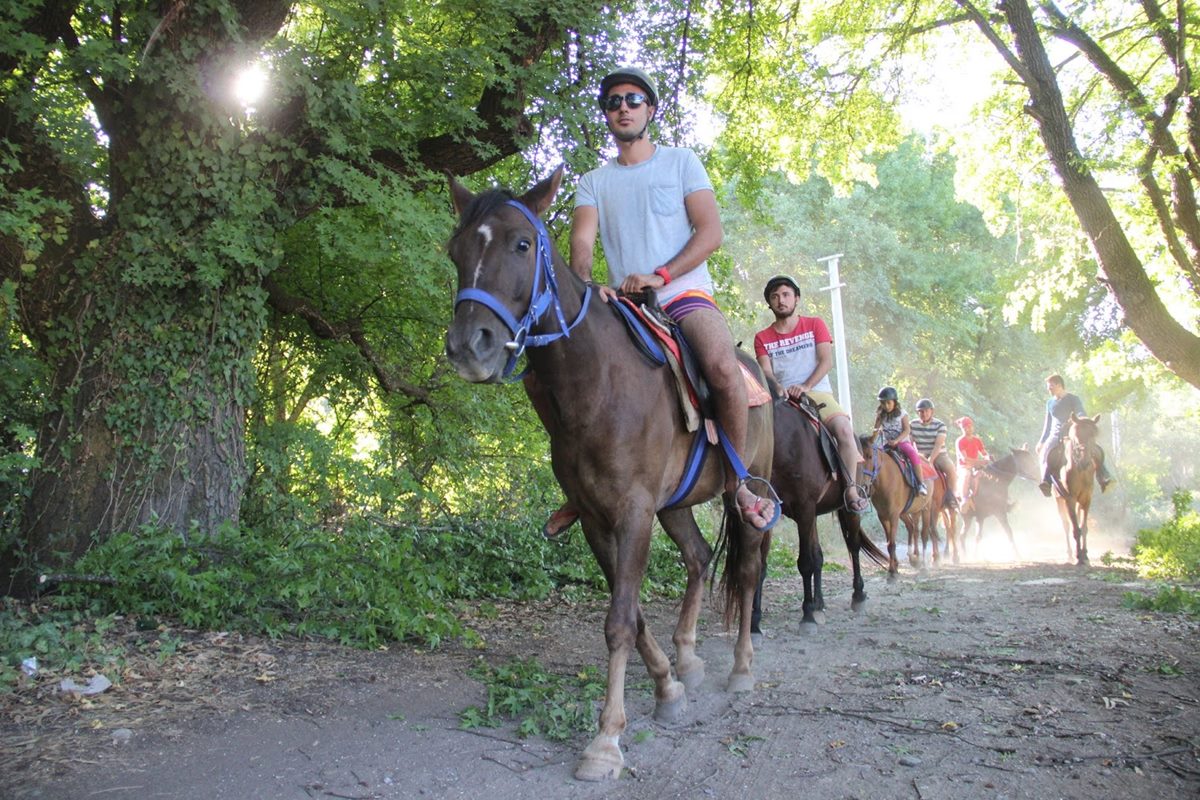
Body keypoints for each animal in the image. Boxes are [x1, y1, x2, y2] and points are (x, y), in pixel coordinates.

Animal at [446, 170, 772, 782]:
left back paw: (741, 668)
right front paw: (668, 688)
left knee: (745, 570)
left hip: (749, 493)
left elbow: (620, 620)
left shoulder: (634, 512)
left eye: (521, 244)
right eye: (455, 251)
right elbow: (634, 615)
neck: (596, 384)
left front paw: (605, 741)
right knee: (698, 559)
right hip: (677, 505)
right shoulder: (597, 519)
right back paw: (689, 656)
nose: (468, 346)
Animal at [758, 398, 892, 633]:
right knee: (819, 556)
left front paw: (807, 616)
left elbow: (805, 563)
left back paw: (857, 596)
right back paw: (819, 604)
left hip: (847, 509)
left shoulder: (804, 507)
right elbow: (762, 565)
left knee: (853, 546)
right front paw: (752, 624)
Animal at [859, 434, 931, 578]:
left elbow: (892, 544)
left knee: (924, 534)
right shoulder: (883, 516)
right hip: (908, 512)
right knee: (912, 527)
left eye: (869, 456)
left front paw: (892, 571)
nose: (864, 487)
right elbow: (888, 543)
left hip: (926, 508)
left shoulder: (893, 515)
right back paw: (914, 558)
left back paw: (924, 564)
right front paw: (894, 566)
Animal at [1051, 417, 1099, 566]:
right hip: (1059, 500)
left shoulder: (1086, 499)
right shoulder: (1069, 499)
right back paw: (1070, 554)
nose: (1084, 461)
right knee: (1066, 525)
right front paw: (1079, 556)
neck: (1080, 471)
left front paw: (1086, 555)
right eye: (1075, 436)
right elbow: (1075, 529)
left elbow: (1083, 528)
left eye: (1094, 435)